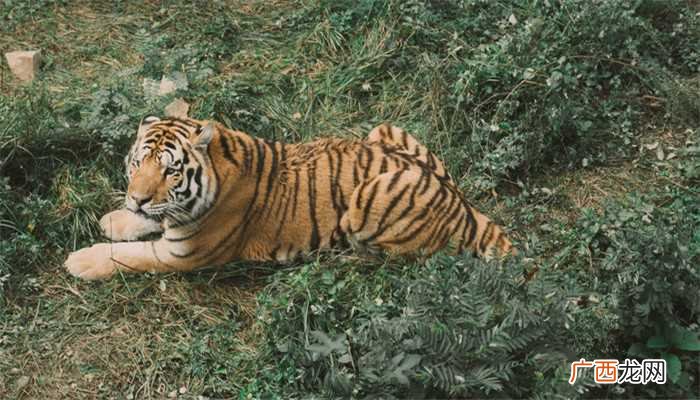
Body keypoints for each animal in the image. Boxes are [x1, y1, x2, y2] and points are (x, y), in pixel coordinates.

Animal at [65, 117, 515, 280]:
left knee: (396, 259)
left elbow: (131, 257)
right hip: (382, 131)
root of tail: (464, 206)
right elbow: (149, 220)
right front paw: (118, 217)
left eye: (170, 170)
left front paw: (82, 261)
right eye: (138, 163)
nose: (137, 198)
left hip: (367, 198)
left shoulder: (185, 254)